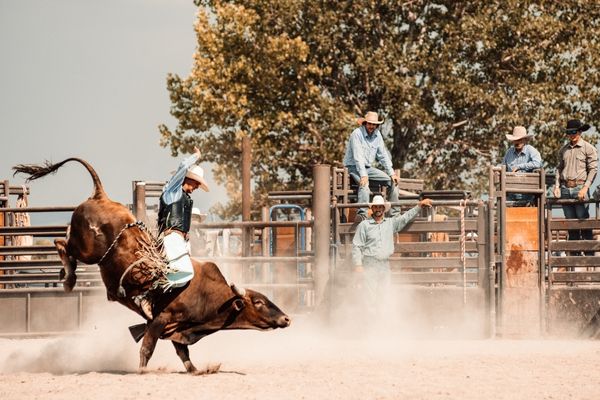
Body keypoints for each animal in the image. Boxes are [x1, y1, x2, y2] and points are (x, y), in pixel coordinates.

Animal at [11, 159, 288, 372]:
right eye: (259, 302)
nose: (286, 318)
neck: (207, 294)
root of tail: (101, 195)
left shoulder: (177, 328)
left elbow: (183, 353)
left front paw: (198, 370)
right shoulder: (160, 320)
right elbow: (147, 348)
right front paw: (143, 371)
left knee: (63, 242)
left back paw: (65, 275)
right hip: (87, 250)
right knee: (61, 243)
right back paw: (68, 279)